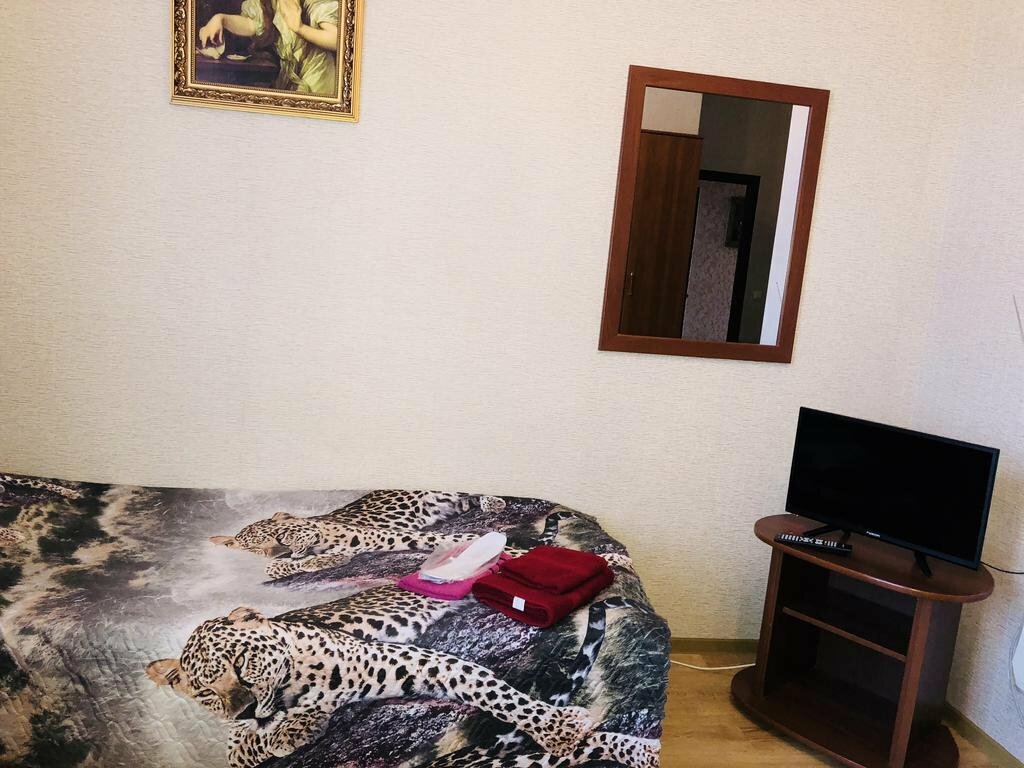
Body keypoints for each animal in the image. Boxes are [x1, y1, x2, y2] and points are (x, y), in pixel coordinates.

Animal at [146, 605, 594, 768]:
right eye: (206, 693)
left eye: (241, 663)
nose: (243, 709)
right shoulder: (235, 744)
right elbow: (252, 741)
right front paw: (289, 727)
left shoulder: (412, 660)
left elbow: (491, 690)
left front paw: (558, 728)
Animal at [209, 490, 507, 579]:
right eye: (253, 549)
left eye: (281, 534)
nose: (281, 550)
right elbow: (273, 568)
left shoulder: (382, 536)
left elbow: (439, 539)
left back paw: (494, 502)